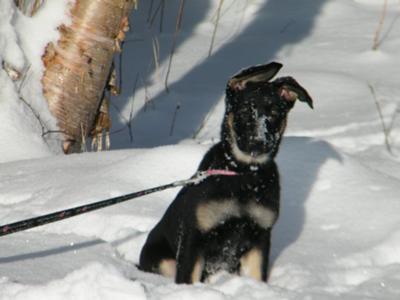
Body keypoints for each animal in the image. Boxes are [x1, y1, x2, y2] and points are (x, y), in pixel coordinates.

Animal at [139, 61, 314, 284]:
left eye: (275, 114)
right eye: (245, 111)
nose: (258, 144)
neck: (244, 174)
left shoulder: (260, 236)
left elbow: (257, 276)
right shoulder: (194, 236)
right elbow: (187, 276)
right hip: (164, 261)